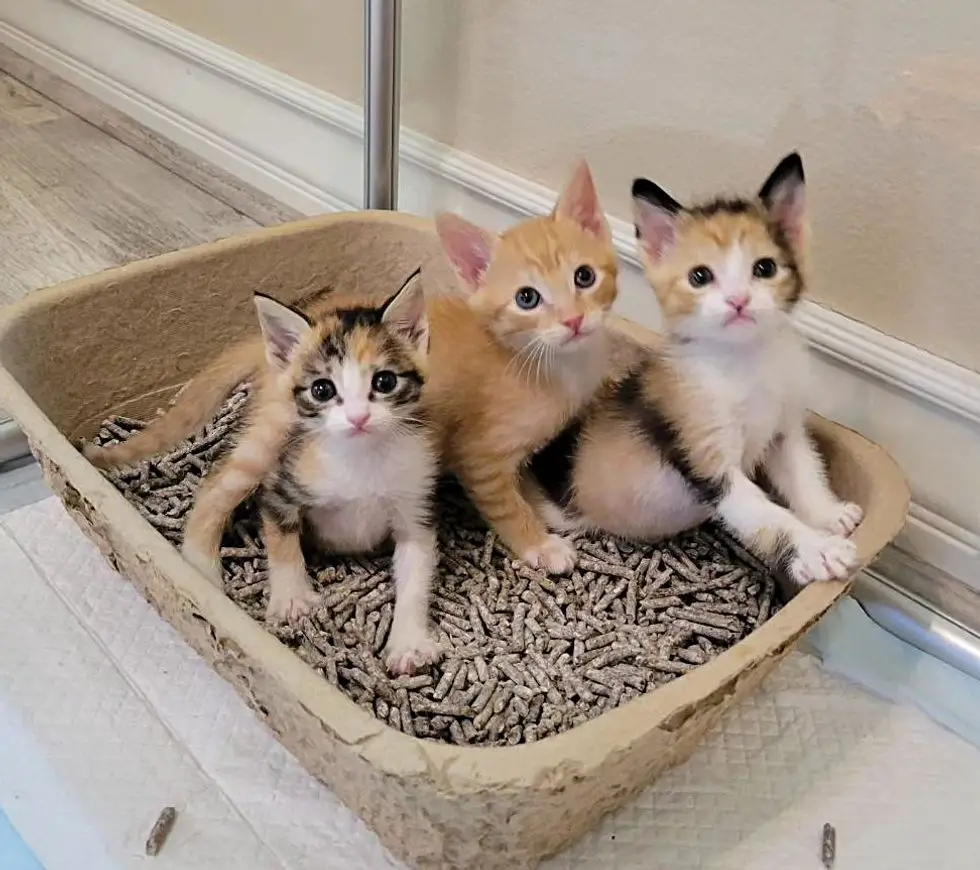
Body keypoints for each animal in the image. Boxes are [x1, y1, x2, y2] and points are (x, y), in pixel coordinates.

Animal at [181, 272, 440, 676]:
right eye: (322, 389)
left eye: (384, 382)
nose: (358, 417)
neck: (362, 456)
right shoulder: (280, 483)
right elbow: (281, 537)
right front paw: (292, 598)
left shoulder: (415, 499)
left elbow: (416, 571)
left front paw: (408, 644)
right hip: (266, 440)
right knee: (215, 486)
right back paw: (200, 570)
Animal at [430, 160, 620, 576]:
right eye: (527, 298)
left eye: (584, 276)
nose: (573, 320)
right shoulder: (479, 457)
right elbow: (505, 505)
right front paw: (540, 544)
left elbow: (525, 478)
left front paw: (546, 507)